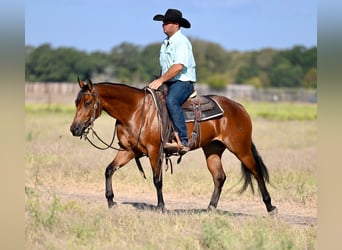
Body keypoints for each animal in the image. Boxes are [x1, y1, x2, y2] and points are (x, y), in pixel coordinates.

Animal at [70, 78, 278, 215]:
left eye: (87, 102)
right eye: (76, 102)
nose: (75, 129)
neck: (136, 111)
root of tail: (239, 107)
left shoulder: (155, 151)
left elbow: (157, 180)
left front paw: (161, 207)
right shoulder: (128, 150)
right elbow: (109, 170)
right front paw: (110, 201)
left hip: (241, 148)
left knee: (256, 171)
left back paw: (270, 207)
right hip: (213, 149)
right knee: (219, 177)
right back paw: (210, 208)